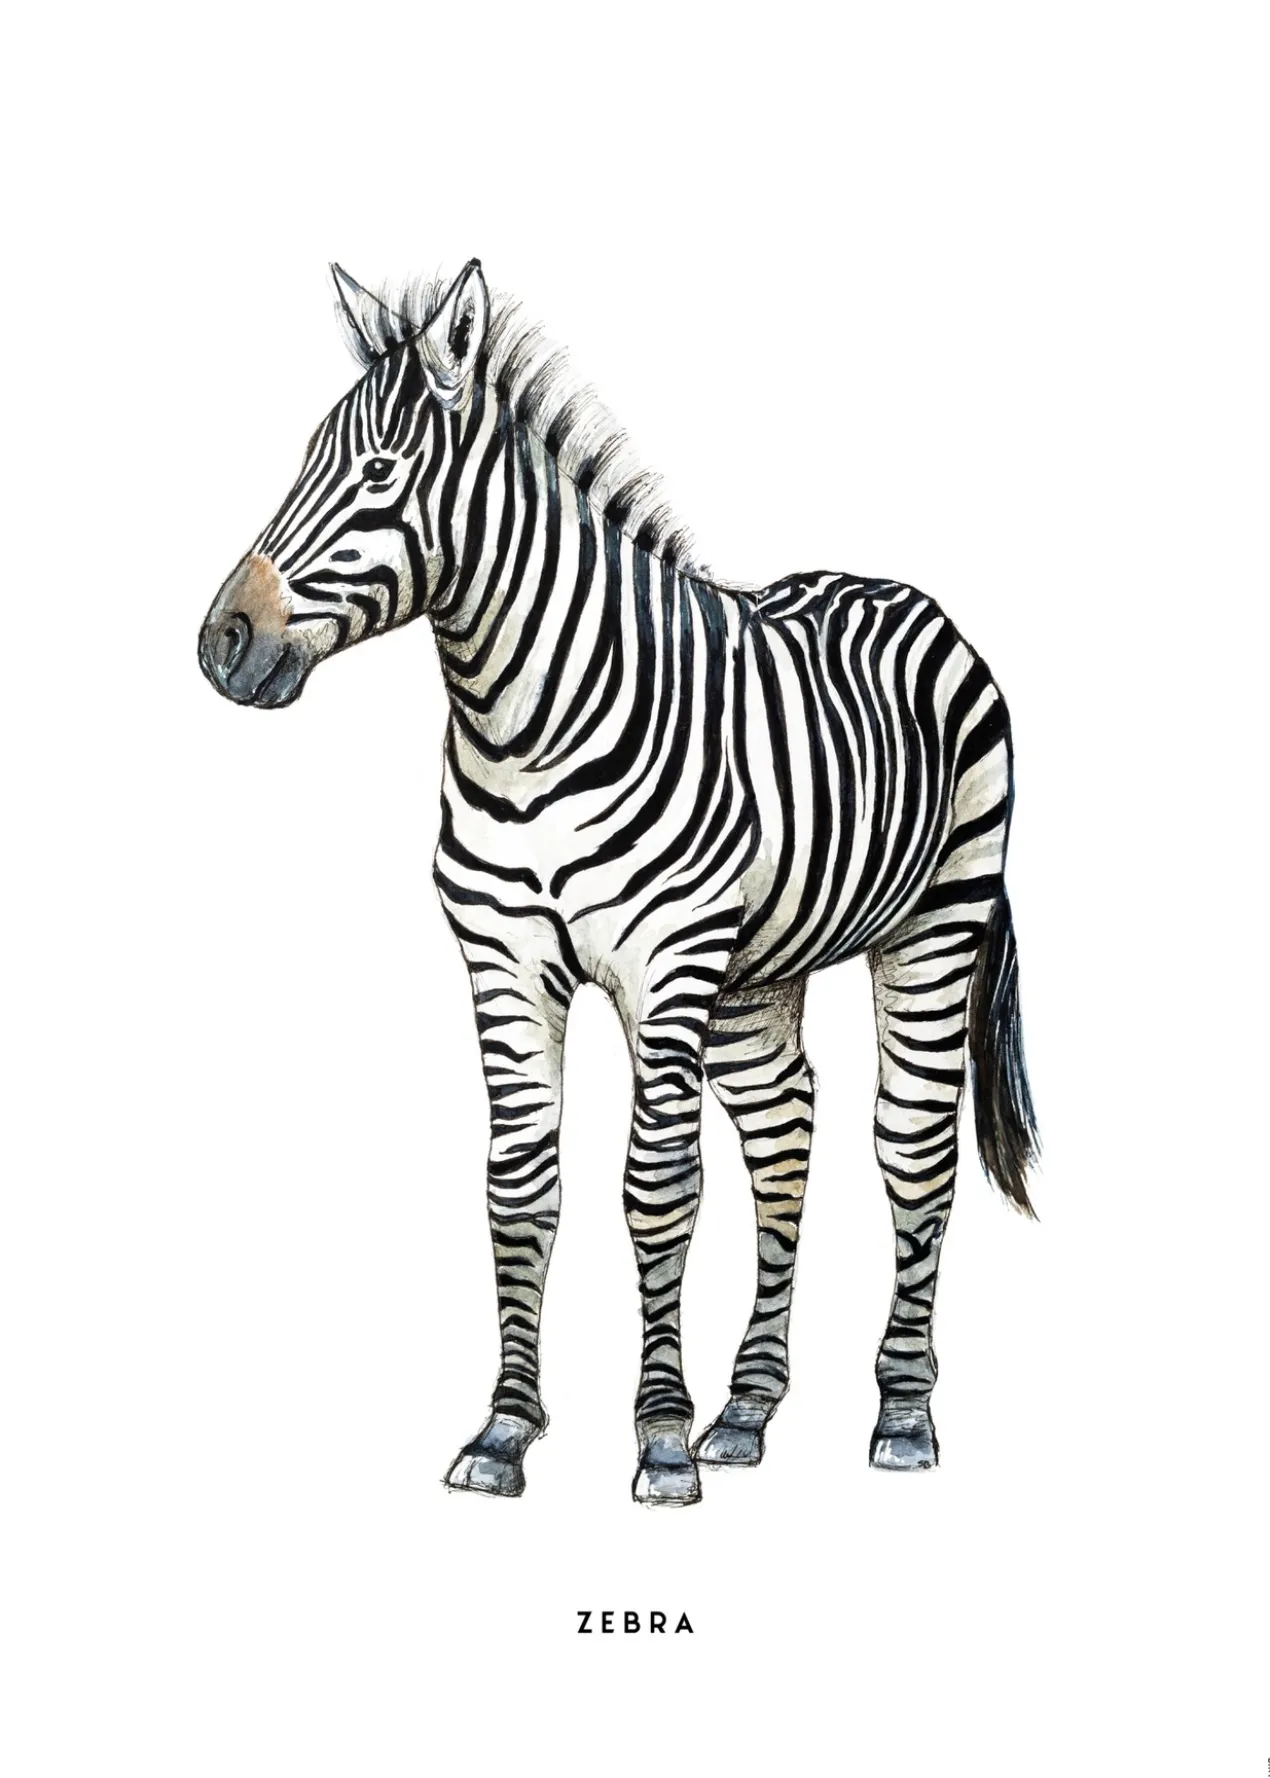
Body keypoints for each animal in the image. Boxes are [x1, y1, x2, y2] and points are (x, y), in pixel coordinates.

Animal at [198, 259, 1039, 1505]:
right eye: (303, 461)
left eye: (379, 473)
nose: (222, 643)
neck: (526, 727)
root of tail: (903, 593)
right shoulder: (503, 960)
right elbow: (518, 1184)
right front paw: (505, 1429)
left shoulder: (663, 967)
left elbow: (658, 1186)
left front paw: (659, 1435)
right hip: (758, 968)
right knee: (784, 1131)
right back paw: (747, 1408)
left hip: (935, 924)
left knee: (911, 1144)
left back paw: (900, 1413)